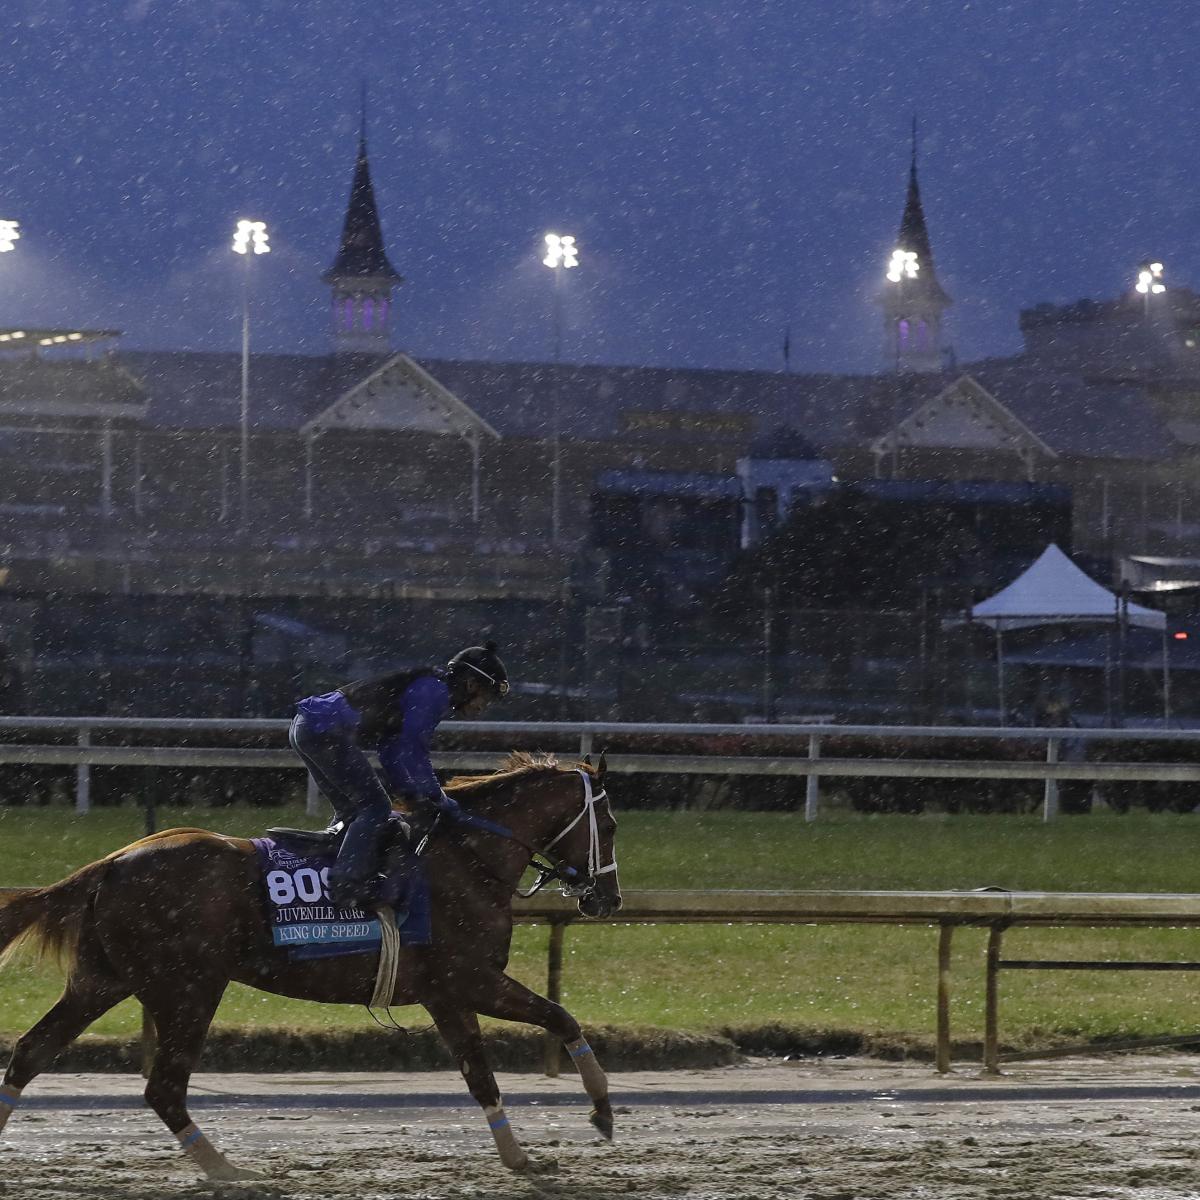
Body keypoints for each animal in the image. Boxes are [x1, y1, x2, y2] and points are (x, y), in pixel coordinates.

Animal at [0, 753, 624, 1176]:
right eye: (612, 826)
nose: (608, 899)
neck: (467, 857)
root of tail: (109, 863)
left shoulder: (445, 994)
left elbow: (492, 1065)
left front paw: (532, 1150)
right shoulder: (470, 979)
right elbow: (550, 1024)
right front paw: (591, 1117)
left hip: (103, 980)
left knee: (31, 1051)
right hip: (189, 988)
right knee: (164, 1087)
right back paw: (229, 1172)